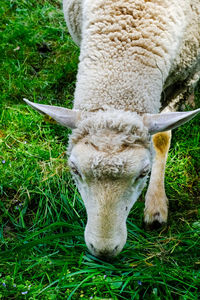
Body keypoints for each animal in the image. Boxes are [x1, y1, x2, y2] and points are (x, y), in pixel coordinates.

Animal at [23, 0, 200, 258]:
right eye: (74, 170)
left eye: (144, 173)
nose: (104, 251)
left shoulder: (185, 79)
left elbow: (160, 139)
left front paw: (156, 206)